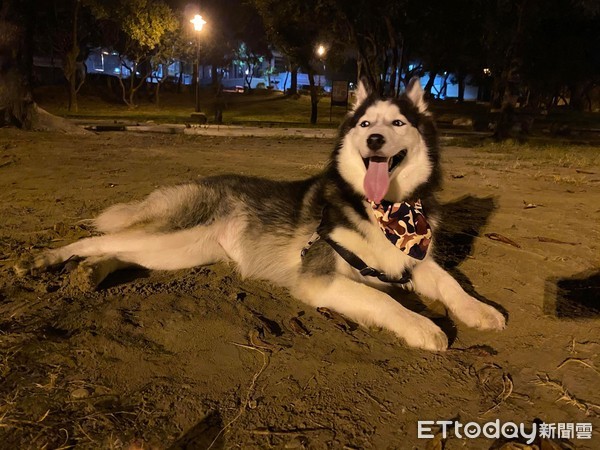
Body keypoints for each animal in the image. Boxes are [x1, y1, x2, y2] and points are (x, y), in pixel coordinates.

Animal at [15, 79, 506, 350]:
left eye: (398, 124)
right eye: (367, 124)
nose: (374, 142)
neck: (387, 212)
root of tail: (204, 181)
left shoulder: (411, 260)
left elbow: (449, 281)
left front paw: (480, 310)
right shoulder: (321, 280)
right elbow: (384, 299)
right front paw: (424, 325)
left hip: (182, 250)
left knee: (123, 251)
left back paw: (92, 271)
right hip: (172, 231)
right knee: (95, 239)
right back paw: (45, 259)